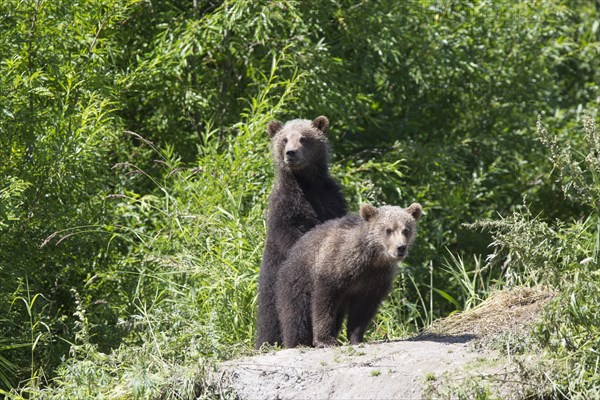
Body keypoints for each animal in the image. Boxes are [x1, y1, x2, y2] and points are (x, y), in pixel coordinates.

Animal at [256, 117, 350, 348]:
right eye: (284, 139)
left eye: (303, 138)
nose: (290, 153)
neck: (307, 184)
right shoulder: (286, 207)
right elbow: (290, 234)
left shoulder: (331, 199)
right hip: (272, 284)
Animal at [276, 203, 422, 346]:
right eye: (388, 230)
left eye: (406, 229)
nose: (401, 247)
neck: (371, 258)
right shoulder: (334, 269)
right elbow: (323, 304)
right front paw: (325, 340)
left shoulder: (375, 279)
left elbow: (362, 311)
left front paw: (356, 338)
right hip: (297, 281)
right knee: (296, 315)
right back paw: (297, 341)